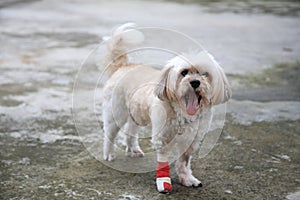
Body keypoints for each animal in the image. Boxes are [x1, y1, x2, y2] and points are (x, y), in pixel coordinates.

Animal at [101, 22, 232, 193]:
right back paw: (109, 154)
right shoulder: (163, 138)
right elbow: (163, 161)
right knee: (109, 134)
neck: (183, 114)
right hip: (116, 113)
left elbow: (184, 162)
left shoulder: (191, 140)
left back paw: (133, 149)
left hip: (137, 113)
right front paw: (164, 183)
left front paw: (187, 178)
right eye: (184, 73)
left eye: (205, 74)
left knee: (131, 130)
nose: (195, 82)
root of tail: (123, 66)